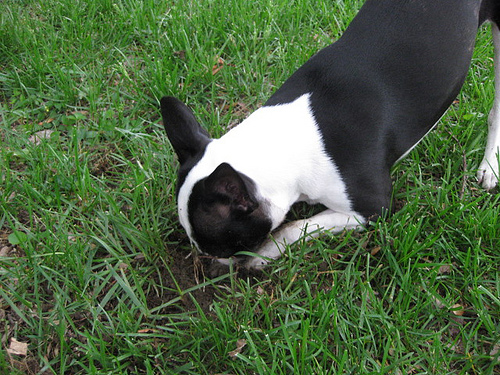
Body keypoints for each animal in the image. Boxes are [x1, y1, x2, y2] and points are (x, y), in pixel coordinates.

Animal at [160, 0, 500, 270]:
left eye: (223, 245)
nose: (211, 262)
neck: (287, 141)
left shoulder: (371, 209)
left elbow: (297, 226)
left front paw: (264, 254)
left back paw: (490, 167)